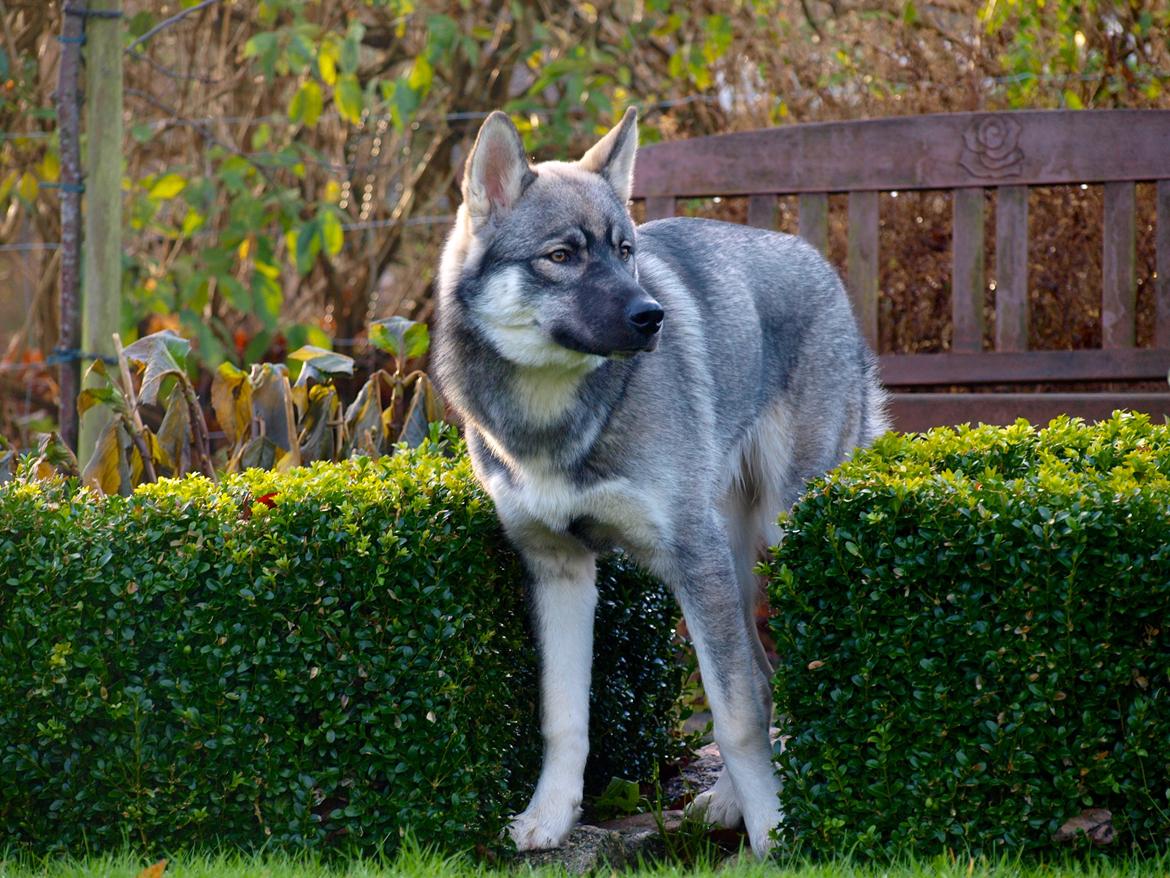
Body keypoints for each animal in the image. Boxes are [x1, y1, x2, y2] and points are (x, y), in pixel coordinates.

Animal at [432, 108, 889, 857]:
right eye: (562, 256)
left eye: (625, 250)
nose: (651, 317)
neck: (556, 416)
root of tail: (816, 258)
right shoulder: (560, 570)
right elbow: (564, 718)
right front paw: (549, 818)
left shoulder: (691, 559)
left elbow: (735, 715)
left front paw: (774, 834)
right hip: (732, 565)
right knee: (764, 676)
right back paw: (728, 802)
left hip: (772, 544)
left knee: (775, 682)